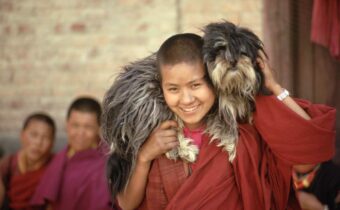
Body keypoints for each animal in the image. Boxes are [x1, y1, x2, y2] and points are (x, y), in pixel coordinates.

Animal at [101, 20, 268, 198]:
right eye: (220, 49)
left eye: (243, 51)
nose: (233, 61)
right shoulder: (217, 106)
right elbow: (224, 121)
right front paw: (230, 141)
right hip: (150, 104)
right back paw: (184, 149)